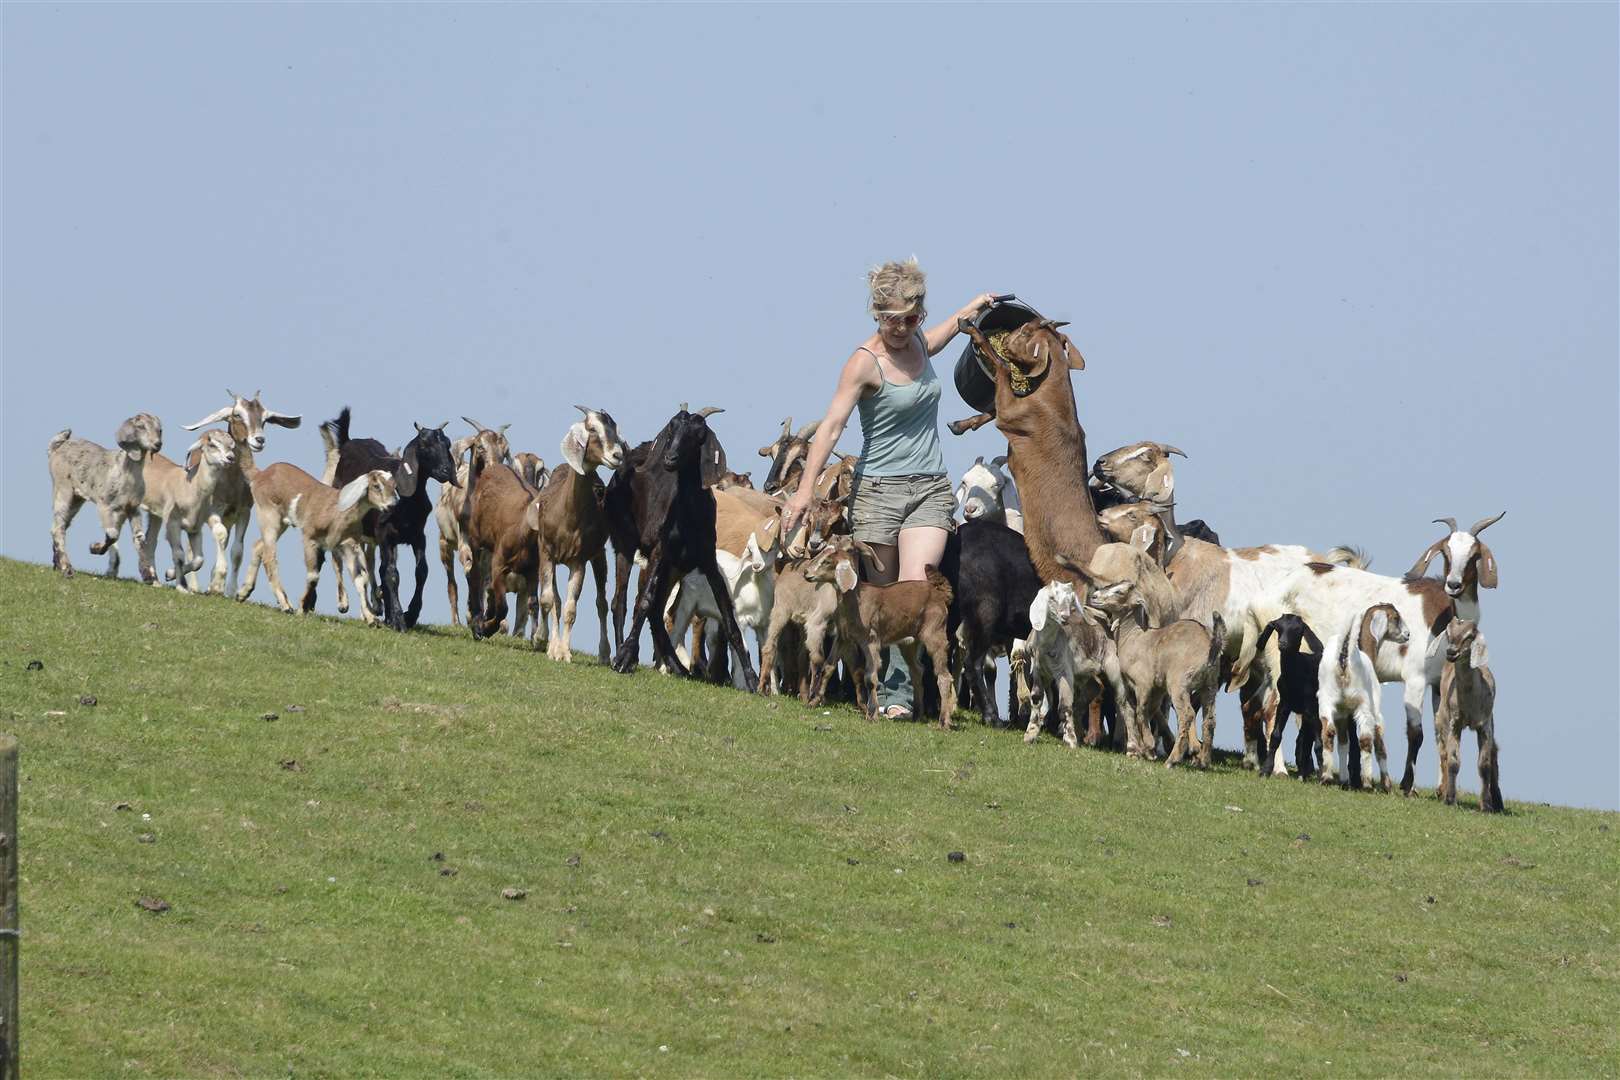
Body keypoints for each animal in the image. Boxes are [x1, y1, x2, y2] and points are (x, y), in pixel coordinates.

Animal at [46, 414, 164, 582]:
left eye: (160, 430)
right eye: (141, 427)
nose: (157, 444)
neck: (128, 474)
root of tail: (57, 447)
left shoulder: (132, 508)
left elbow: (140, 540)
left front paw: (149, 575)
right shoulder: (105, 506)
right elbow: (113, 534)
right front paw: (94, 548)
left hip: (76, 499)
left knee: (59, 526)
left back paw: (57, 563)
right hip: (63, 490)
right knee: (57, 528)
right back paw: (67, 568)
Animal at [319, 408, 456, 628]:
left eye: (447, 444)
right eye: (424, 445)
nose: (445, 471)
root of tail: (347, 442)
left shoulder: (417, 535)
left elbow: (421, 571)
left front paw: (410, 614)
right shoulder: (385, 534)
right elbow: (391, 573)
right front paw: (399, 619)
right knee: (341, 560)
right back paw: (346, 603)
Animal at [609, 404, 758, 693]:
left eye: (697, 435)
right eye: (671, 429)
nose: (670, 458)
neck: (688, 513)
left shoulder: (706, 560)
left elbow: (728, 614)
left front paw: (751, 678)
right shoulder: (660, 552)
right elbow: (644, 601)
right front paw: (623, 658)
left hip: (675, 568)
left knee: (657, 611)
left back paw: (677, 667)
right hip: (626, 545)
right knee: (622, 601)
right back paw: (625, 654)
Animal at [1250, 615, 1328, 777]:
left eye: (1297, 630)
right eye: (1278, 627)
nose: (1282, 643)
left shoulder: (1311, 708)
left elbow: (1318, 743)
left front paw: (1322, 776)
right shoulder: (1284, 705)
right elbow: (1276, 736)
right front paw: (1266, 770)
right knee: (1303, 739)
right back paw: (1303, 773)